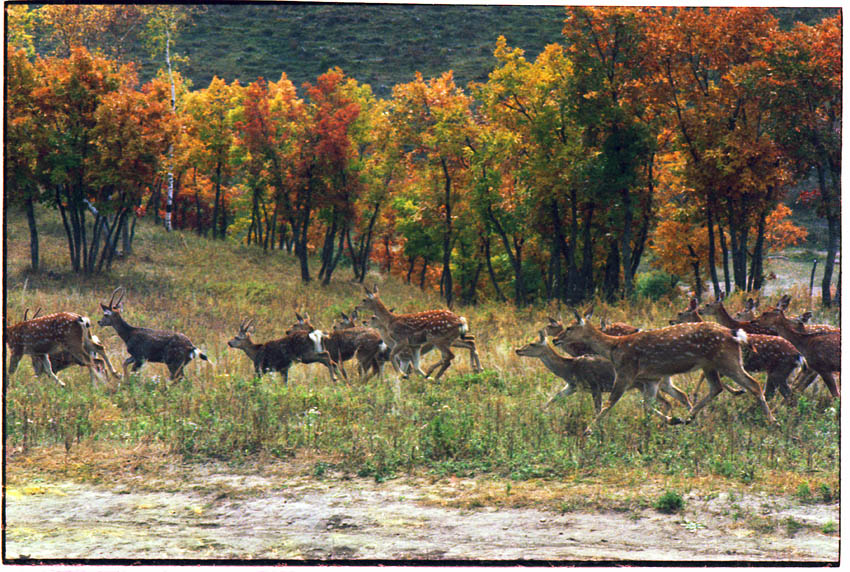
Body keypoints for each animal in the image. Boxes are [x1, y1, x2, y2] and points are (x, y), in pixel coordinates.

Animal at [552, 308, 772, 434]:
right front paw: (672, 420)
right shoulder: (652, 378)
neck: (614, 348)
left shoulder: (625, 372)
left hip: (727, 360)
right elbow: (647, 405)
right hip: (711, 364)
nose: (555, 339)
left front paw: (588, 430)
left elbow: (610, 403)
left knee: (753, 384)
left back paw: (772, 421)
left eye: (570, 327)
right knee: (716, 387)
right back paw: (690, 416)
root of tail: (735, 333)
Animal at [668, 298, 800, 400]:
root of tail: (797, 355)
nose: (671, 321)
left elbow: (704, 376)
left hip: (777, 370)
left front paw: (694, 395)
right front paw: (739, 391)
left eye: (680, 313)